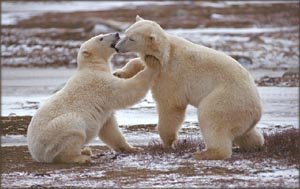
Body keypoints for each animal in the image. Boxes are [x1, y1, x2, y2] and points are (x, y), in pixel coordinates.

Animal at [27, 31, 159, 163]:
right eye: (101, 38)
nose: (116, 34)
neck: (92, 66)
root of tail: (36, 154)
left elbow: (109, 129)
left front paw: (133, 148)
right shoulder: (99, 83)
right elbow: (126, 91)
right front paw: (151, 64)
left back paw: (86, 151)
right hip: (54, 134)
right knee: (73, 128)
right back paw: (82, 156)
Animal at [113, 15, 264, 159]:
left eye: (131, 39)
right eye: (126, 33)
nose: (117, 47)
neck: (165, 52)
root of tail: (257, 111)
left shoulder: (171, 75)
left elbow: (171, 106)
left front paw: (167, 143)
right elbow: (140, 63)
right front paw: (119, 73)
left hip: (227, 100)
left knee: (211, 119)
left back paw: (204, 153)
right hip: (241, 116)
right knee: (244, 133)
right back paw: (255, 145)